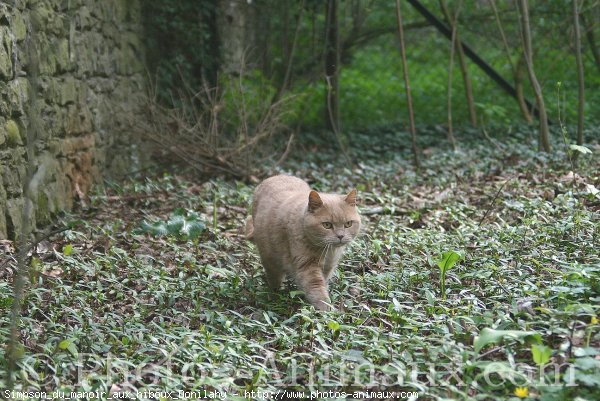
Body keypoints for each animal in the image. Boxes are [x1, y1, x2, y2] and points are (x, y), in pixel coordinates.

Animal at [245, 174, 360, 310]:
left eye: (348, 224)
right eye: (327, 225)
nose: (340, 236)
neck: (328, 252)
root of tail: (275, 176)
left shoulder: (328, 267)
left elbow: (324, 282)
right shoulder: (307, 266)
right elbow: (316, 288)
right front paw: (327, 309)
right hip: (270, 258)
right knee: (274, 277)